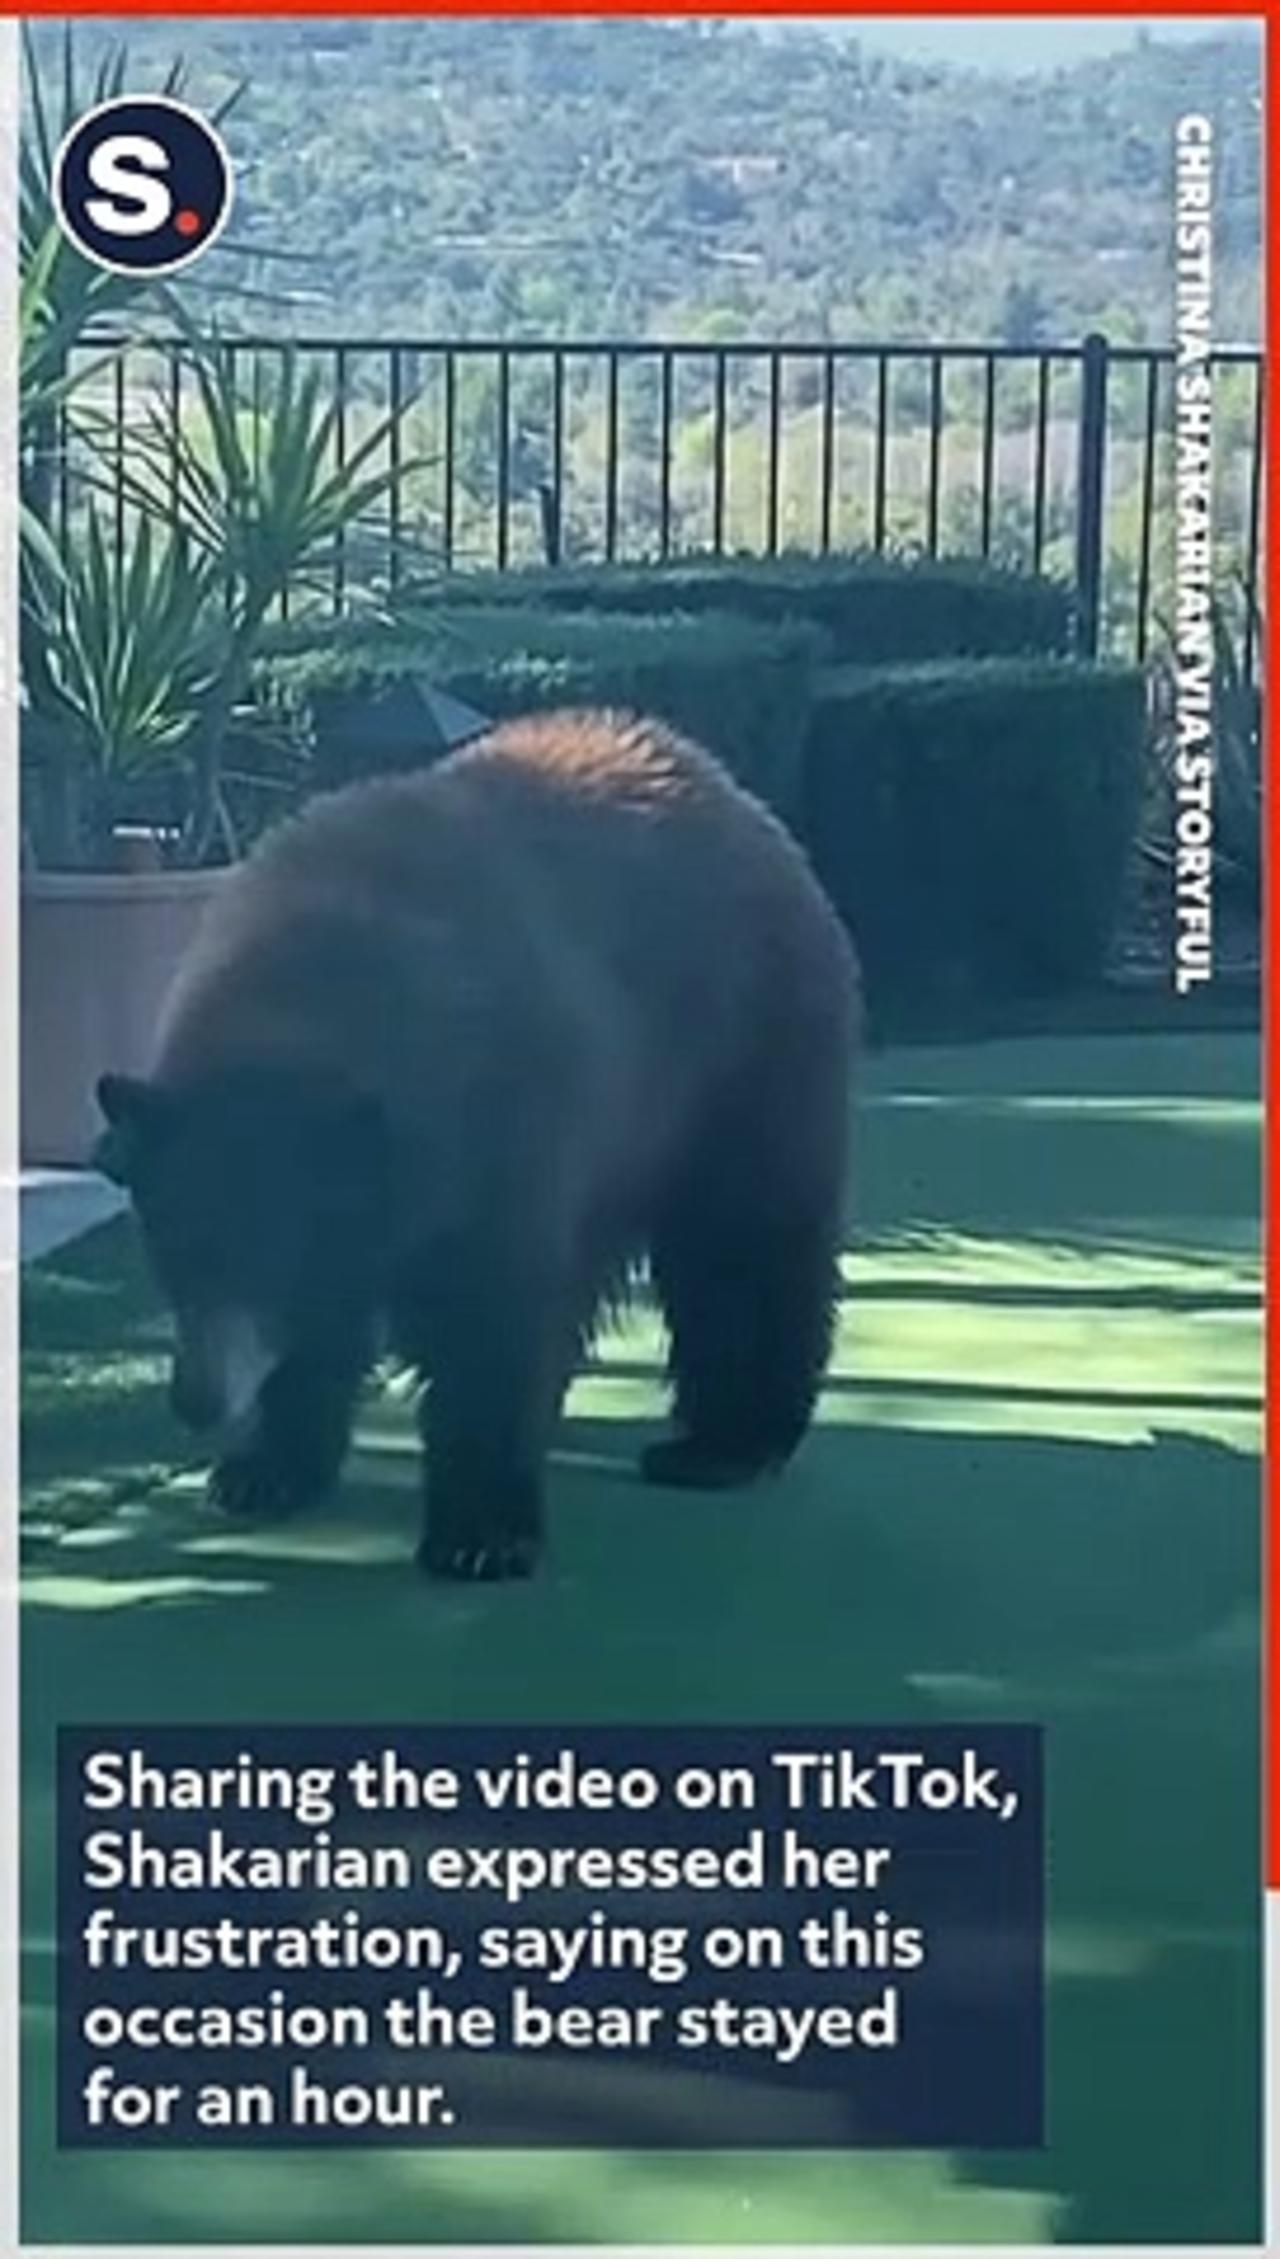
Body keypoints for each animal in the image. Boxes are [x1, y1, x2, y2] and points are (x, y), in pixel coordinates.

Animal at [93, 710, 860, 1581]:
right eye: (174, 1248)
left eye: (267, 1254)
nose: (196, 1398)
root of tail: (737, 796)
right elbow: (330, 1323)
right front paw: (266, 1468)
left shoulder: (503, 1131)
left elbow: (489, 1317)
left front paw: (482, 1531)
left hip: (742, 1055)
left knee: (743, 1245)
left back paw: (726, 1443)